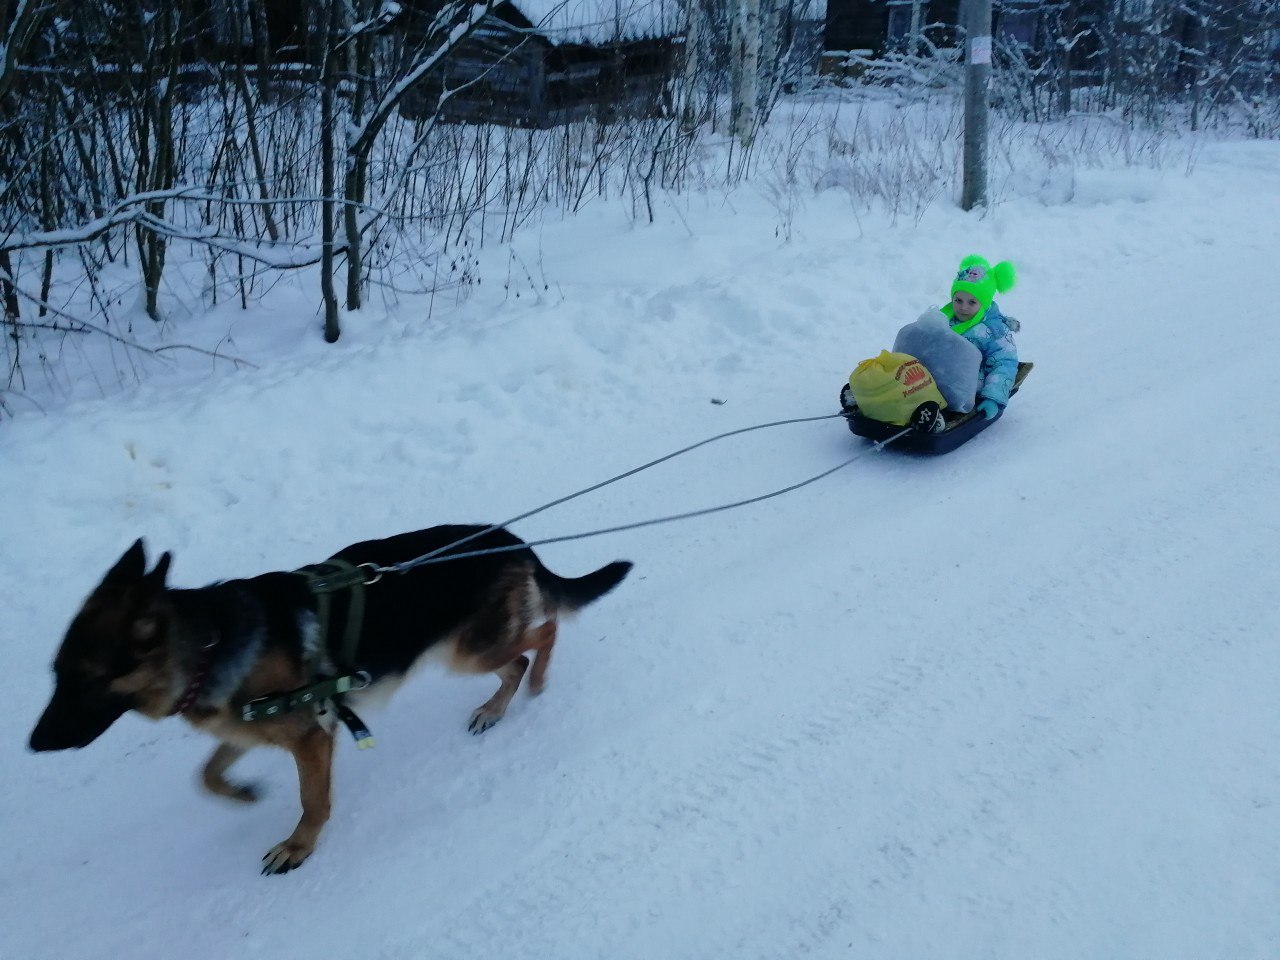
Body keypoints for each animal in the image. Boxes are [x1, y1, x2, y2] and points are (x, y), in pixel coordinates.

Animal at [30, 529, 629, 875]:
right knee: (521, 654)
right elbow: (206, 776)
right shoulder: (250, 729)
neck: (207, 648)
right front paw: (243, 793)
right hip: (463, 649)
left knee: (542, 637)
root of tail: (514, 538)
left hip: (467, 650)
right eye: (55, 675)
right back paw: (497, 707)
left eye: (82, 681)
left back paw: (528, 688)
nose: (33, 745)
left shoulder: (310, 739)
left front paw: (298, 847)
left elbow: (312, 801)